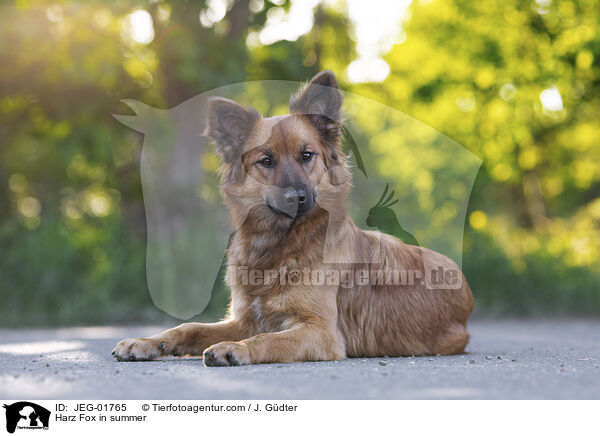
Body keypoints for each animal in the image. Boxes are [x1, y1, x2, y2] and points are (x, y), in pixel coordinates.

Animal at [112, 70, 474, 366]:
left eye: (306, 155)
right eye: (266, 161)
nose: (296, 198)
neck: (279, 245)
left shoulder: (321, 332)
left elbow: (268, 339)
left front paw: (236, 349)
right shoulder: (243, 319)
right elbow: (189, 327)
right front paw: (146, 342)